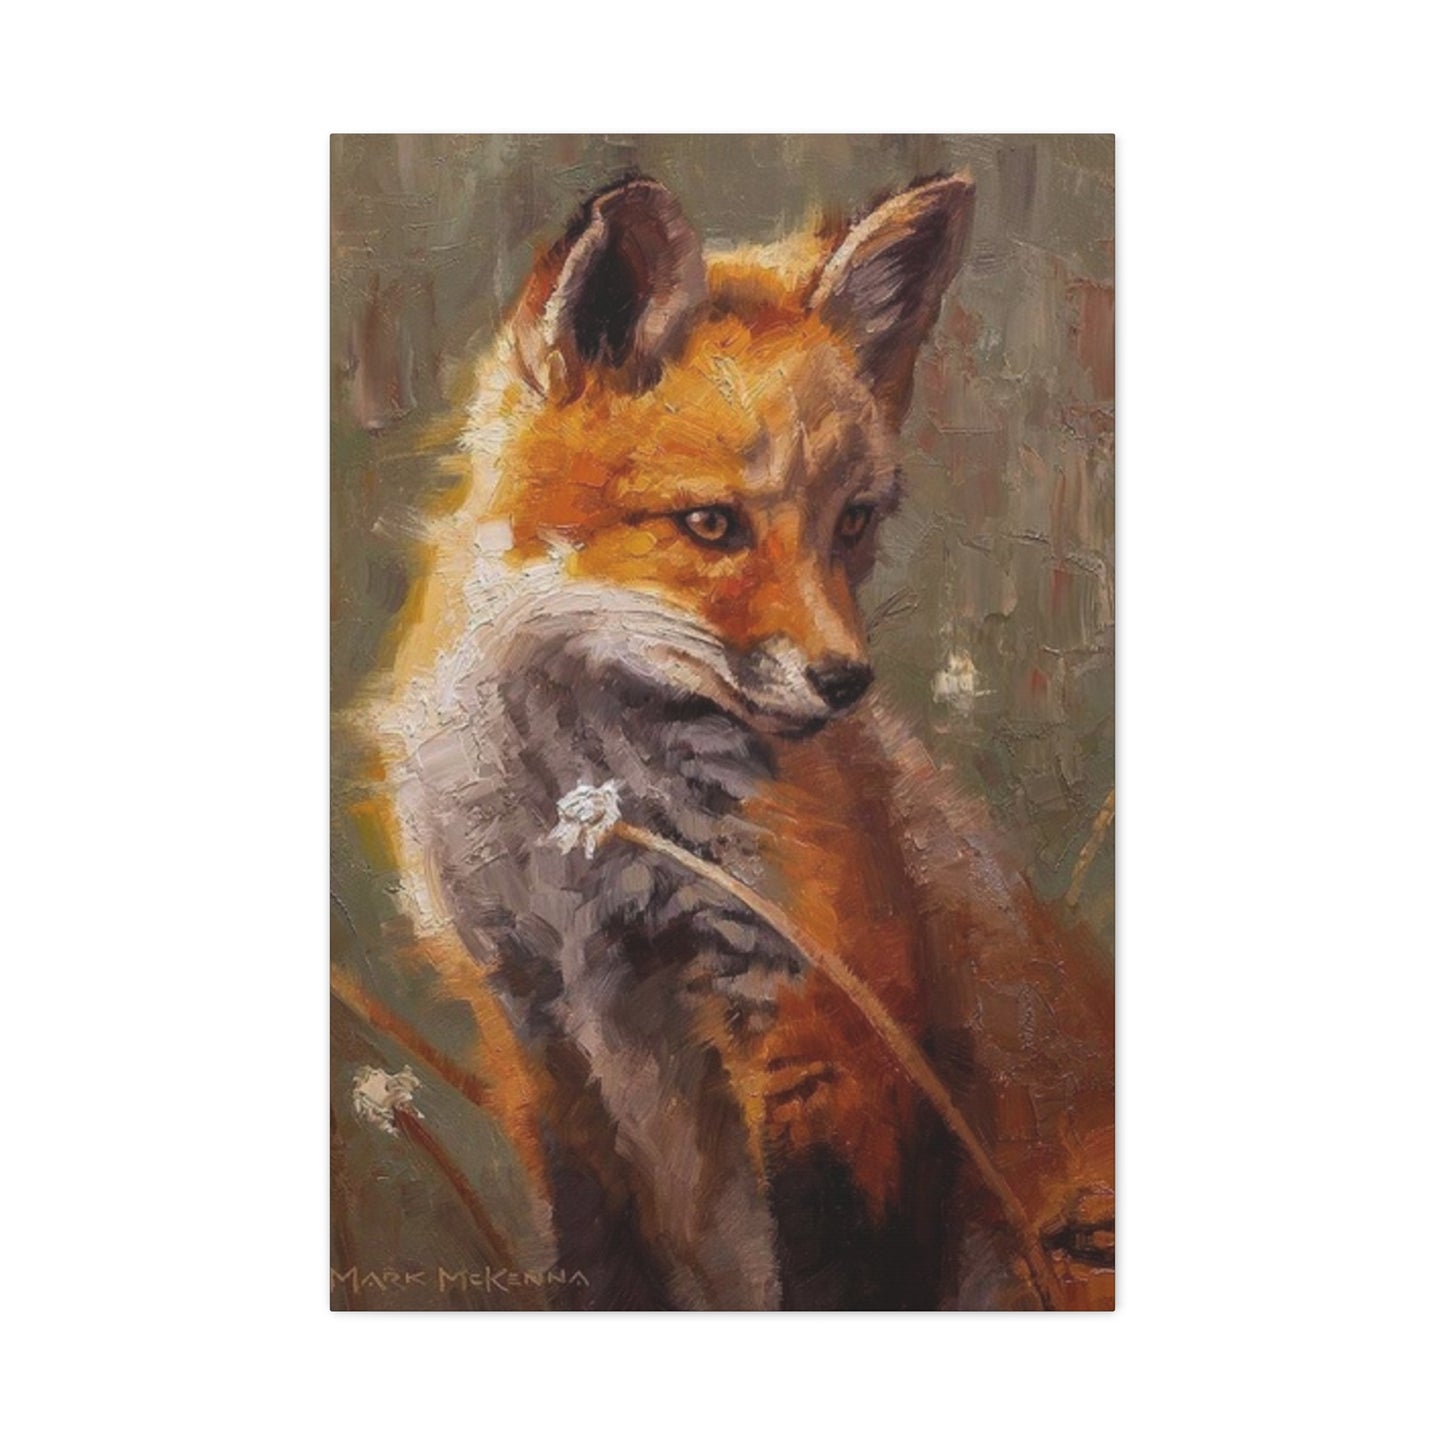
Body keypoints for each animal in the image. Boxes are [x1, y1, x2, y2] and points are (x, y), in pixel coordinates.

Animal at [362, 173, 1114, 1310]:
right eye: (711, 524)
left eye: (852, 521)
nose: (844, 681)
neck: (590, 827)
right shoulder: (531, 1022)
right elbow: (595, 1259)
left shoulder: (823, 1016)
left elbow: (837, 1269)